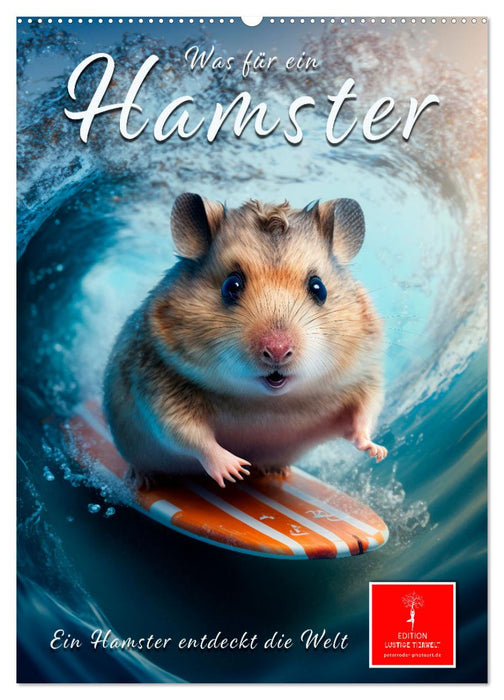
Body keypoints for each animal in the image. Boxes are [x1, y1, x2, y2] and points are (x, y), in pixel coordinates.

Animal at [103, 193, 387, 489]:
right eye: (231, 285)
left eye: (319, 288)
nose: (277, 351)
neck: (268, 402)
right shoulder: (159, 388)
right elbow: (189, 434)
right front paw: (237, 469)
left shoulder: (366, 378)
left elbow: (364, 415)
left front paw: (377, 451)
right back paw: (141, 480)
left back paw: (275, 470)